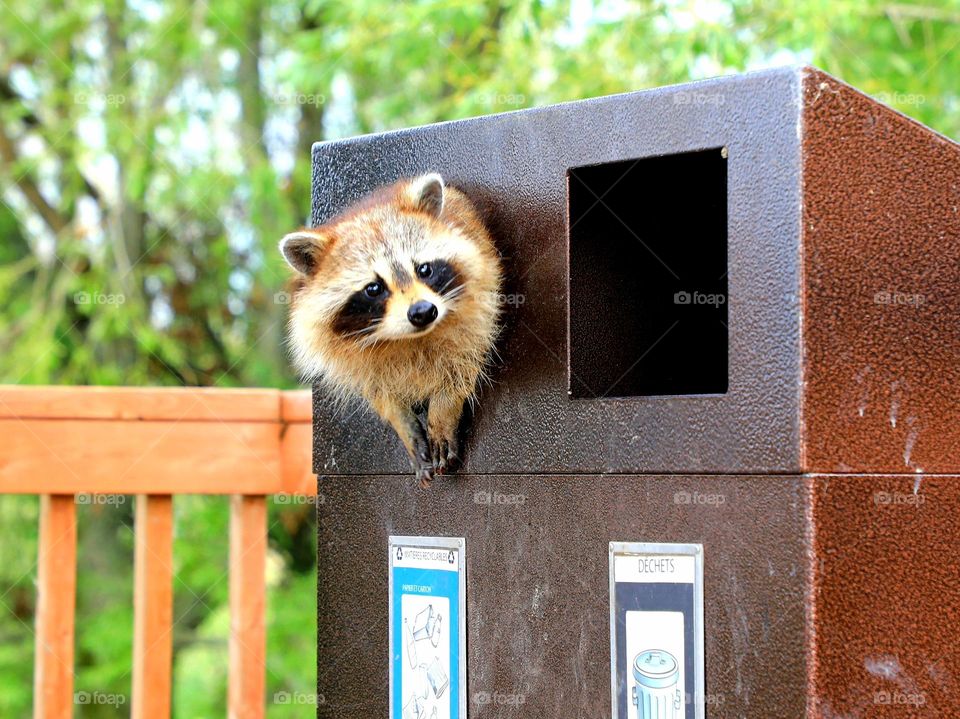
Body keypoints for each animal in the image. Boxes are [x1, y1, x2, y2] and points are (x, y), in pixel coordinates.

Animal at [278, 174, 502, 490]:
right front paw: (403, 425)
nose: (423, 311)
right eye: (374, 288)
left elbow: (462, 364)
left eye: (424, 269)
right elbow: (381, 393)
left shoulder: (480, 306)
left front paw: (443, 411)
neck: (407, 339)